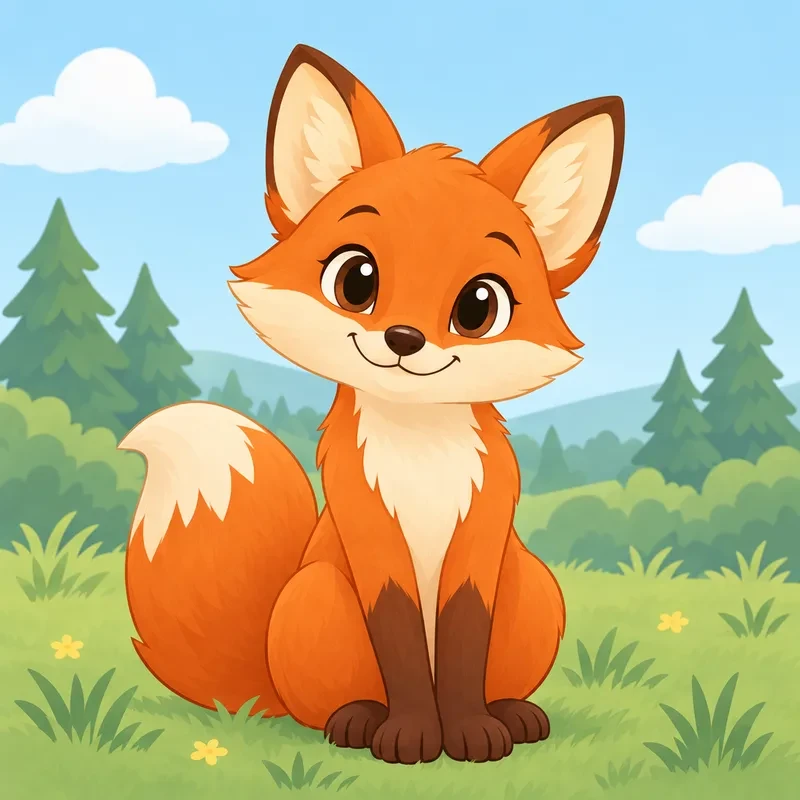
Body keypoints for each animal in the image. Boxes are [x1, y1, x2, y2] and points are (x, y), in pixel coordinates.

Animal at [119, 44, 624, 765]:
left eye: (480, 305)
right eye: (357, 279)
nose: (404, 339)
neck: (420, 455)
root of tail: (266, 687)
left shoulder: (482, 540)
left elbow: (463, 643)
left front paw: (470, 732)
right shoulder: (370, 533)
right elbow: (401, 642)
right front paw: (413, 734)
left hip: (532, 584)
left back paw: (513, 713)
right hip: (318, 595)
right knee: (325, 707)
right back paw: (356, 721)